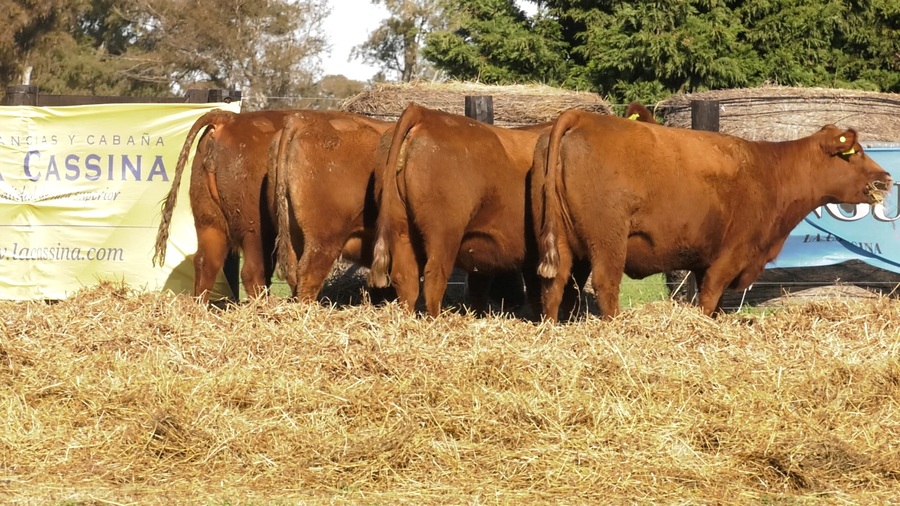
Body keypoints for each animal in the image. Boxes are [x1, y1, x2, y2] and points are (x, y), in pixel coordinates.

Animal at [367, 103, 552, 318]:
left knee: (406, 276)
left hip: (401, 226)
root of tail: (424, 112)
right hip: (444, 231)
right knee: (434, 275)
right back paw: (434, 320)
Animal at [533, 110, 892, 321]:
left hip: (561, 242)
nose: (887, 178)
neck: (770, 171)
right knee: (606, 284)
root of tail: (584, 117)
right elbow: (709, 299)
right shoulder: (731, 254)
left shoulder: (703, 260)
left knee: (554, 285)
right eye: (855, 153)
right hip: (608, 241)